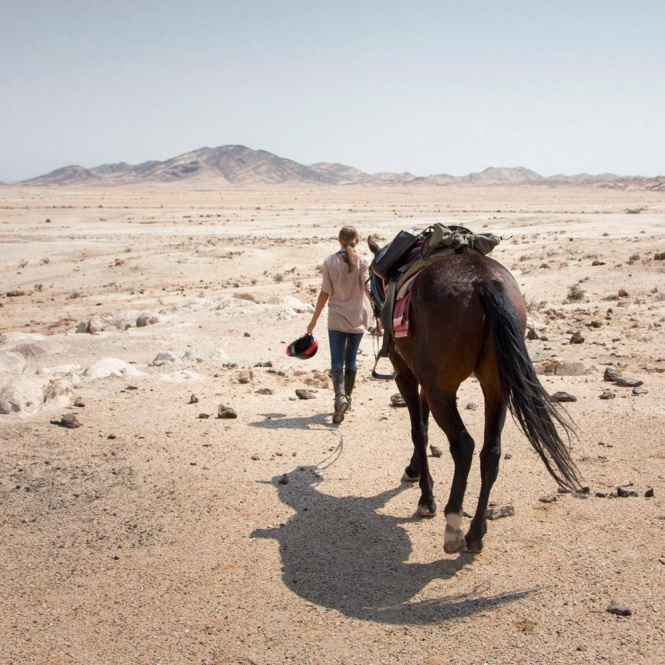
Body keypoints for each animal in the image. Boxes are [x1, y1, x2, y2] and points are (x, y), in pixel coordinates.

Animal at [366, 236, 580, 552]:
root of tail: (484, 282)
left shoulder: (406, 374)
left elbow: (419, 431)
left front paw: (426, 498)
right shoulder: (426, 382)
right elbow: (424, 426)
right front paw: (415, 469)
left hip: (442, 390)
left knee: (463, 446)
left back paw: (453, 525)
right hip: (496, 389)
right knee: (491, 452)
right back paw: (476, 532)